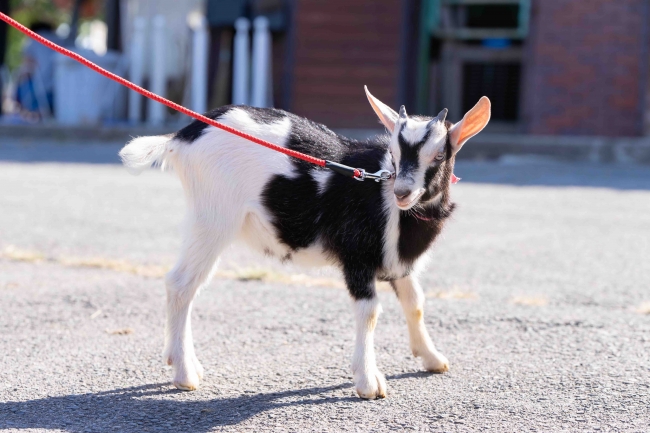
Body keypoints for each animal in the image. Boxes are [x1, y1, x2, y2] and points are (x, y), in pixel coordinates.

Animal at [119, 87, 488, 398]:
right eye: (393, 154)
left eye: (439, 155)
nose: (402, 192)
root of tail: (182, 137)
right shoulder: (356, 255)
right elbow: (369, 312)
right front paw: (369, 383)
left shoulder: (397, 261)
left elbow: (415, 303)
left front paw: (432, 358)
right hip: (212, 218)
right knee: (181, 284)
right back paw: (185, 375)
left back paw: (180, 362)